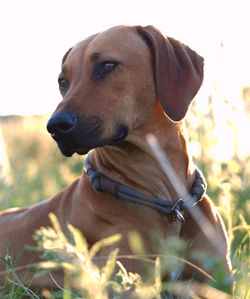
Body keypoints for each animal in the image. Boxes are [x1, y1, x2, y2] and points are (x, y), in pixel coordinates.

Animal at [0, 25, 231, 292]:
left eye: (108, 65)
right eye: (63, 82)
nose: (55, 126)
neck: (168, 201)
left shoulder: (219, 281)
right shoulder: (127, 282)